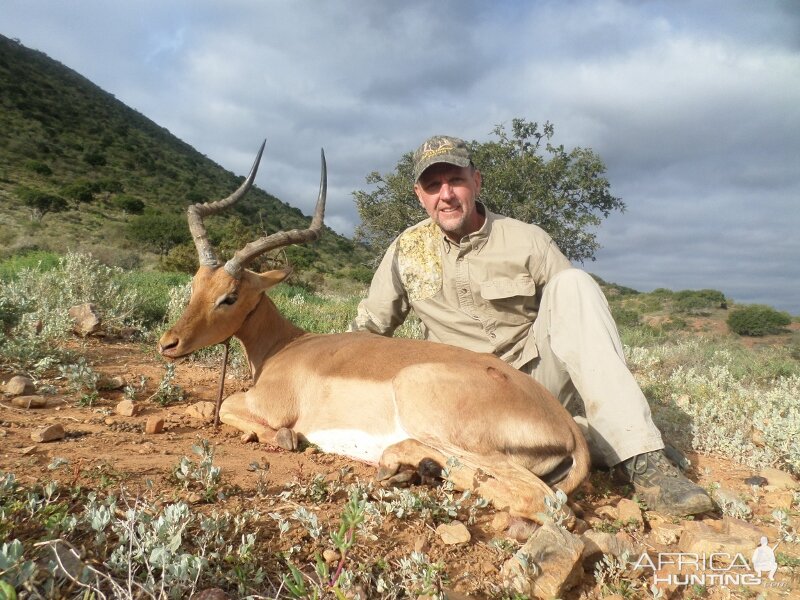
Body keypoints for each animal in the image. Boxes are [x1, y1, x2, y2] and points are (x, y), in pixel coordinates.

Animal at [159, 141, 592, 520]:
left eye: (230, 296)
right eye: (196, 283)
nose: (168, 343)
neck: (285, 347)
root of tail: (568, 428)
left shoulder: (268, 406)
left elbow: (229, 406)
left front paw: (283, 438)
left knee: (538, 498)